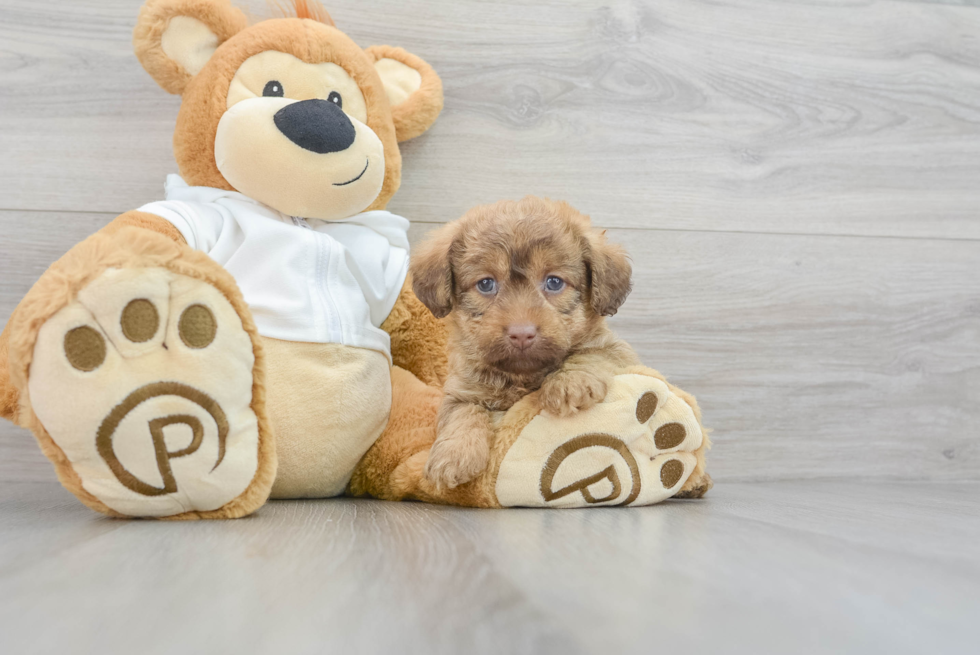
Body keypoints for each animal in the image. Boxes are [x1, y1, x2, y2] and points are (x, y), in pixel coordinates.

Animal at [410, 195, 640, 486]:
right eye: (486, 284)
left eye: (554, 282)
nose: (521, 333)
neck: (521, 376)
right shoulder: (459, 390)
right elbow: (462, 413)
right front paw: (455, 454)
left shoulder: (616, 350)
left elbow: (589, 354)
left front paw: (569, 381)